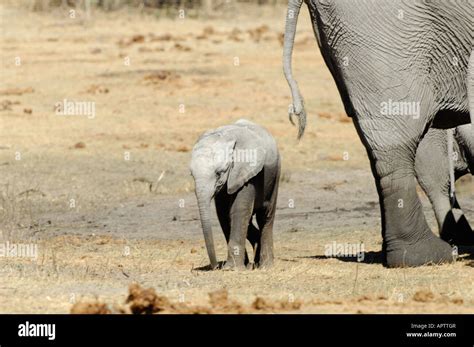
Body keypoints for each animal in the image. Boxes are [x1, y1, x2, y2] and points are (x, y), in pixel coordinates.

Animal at [190, 120, 280, 272]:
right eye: (191, 175)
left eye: (219, 173)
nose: (215, 267)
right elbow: (224, 214)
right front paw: (237, 266)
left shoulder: (247, 172)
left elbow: (238, 210)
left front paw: (231, 269)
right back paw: (253, 262)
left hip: (275, 175)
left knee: (265, 216)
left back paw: (265, 266)